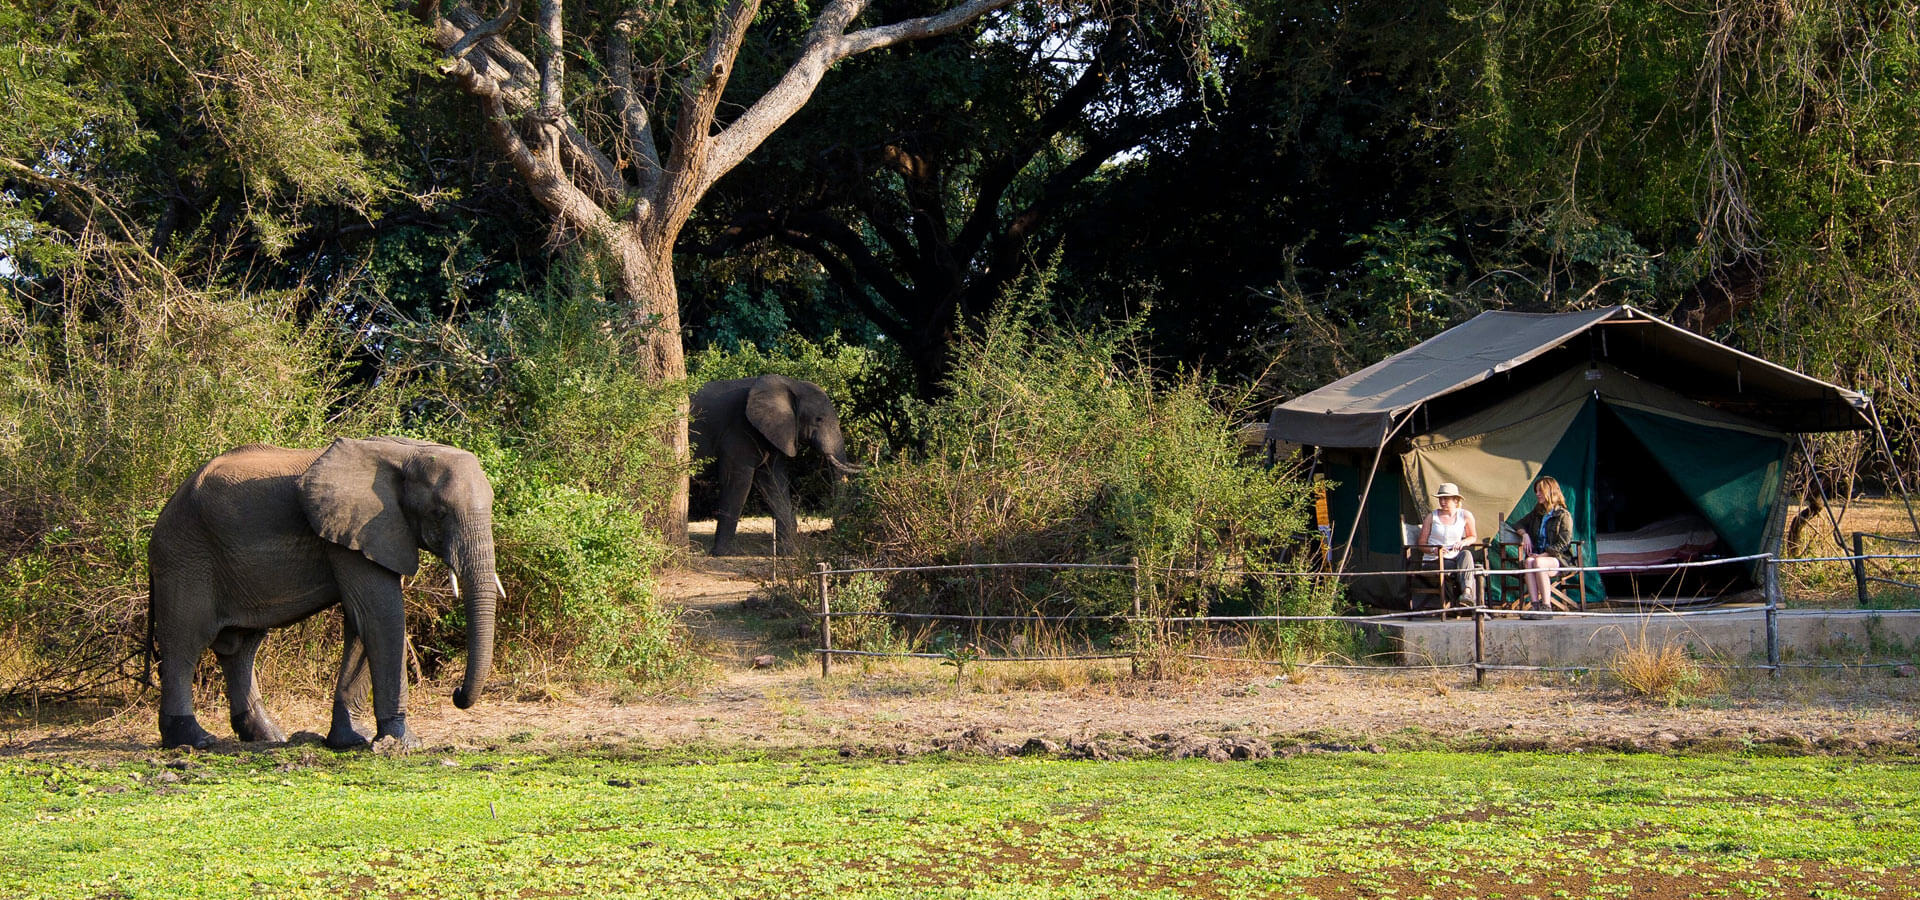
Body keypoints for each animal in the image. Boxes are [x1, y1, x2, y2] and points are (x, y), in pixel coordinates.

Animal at [147, 435, 503, 752]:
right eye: (439, 513)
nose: (456, 692)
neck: (407, 452)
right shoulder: (355, 532)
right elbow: (381, 616)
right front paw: (405, 743)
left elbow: (362, 623)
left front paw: (352, 740)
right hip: (185, 557)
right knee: (185, 643)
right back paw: (194, 740)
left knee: (241, 646)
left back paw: (269, 736)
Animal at [695, 374, 860, 552]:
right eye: (819, 419)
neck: (791, 383)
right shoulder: (739, 430)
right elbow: (736, 481)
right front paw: (719, 553)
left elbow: (774, 481)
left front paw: (789, 552)